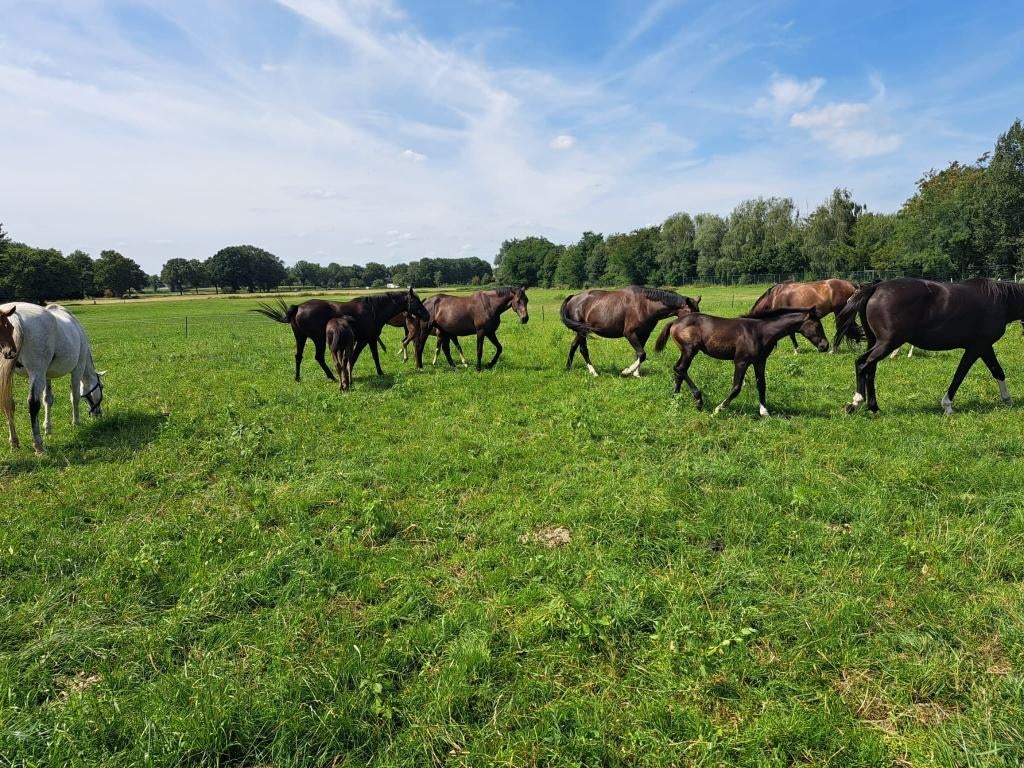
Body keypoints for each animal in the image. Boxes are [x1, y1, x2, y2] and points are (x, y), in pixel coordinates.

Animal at [0, 303, 106, 454]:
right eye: (101, 387)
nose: (98, 413)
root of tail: (15, 317)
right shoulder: (77, 370)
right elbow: (75, 397)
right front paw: (76, 422)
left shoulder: (46, 375)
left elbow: (48, 400)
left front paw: (48, 428)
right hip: (37, 372)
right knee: (33, 404)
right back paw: (38, 445)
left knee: (8, 403)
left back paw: (14, 442)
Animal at [254, 288, 429, 382]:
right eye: (415, 301)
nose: (427, 315)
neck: (373, 310)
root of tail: (298, 308)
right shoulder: (365, 340)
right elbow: (359, 357)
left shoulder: (368, 340)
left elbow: (370, 356)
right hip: (318, 340)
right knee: (318, 357)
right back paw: (331, 376)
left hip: (300, 337)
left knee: (298, 356)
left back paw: (298, 378)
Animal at [560, 287, 701, 377]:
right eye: (691, 312)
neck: (645, 305)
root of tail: (573, 298)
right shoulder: (630, 334)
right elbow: (642, 354)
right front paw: (627, 371)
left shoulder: (644, 335)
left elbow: (639, 354)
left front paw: (636, 374)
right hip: (582, 331)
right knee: (583, 349)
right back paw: (593, 372)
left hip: (581, 331)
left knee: (574, 346)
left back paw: (568, 367)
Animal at [655, 307, 828, 416]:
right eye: (817, 325)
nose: (825, 346)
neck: (759, 332)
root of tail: (675, 322)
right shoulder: (741, 362)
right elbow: (736, 387)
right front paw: (718, 409)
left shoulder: (760, 362)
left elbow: (761, 385)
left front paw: (764, 412)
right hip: (690, 350)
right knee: (680, 369)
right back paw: (698, 400)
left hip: (686, 352)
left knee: (678, 369)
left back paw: (676, 398)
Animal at [834, 278, 1024, 414]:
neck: (999, 301)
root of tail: (875, 288)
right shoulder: (976, 347)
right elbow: (960, 374)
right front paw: (947, 405)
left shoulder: (984, 347)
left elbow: (997, 371)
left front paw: (1008, 400)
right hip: (888, 343)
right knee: (862, 364)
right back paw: (856, 402)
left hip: (876, 342)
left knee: (870, 369)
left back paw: (873, 407)